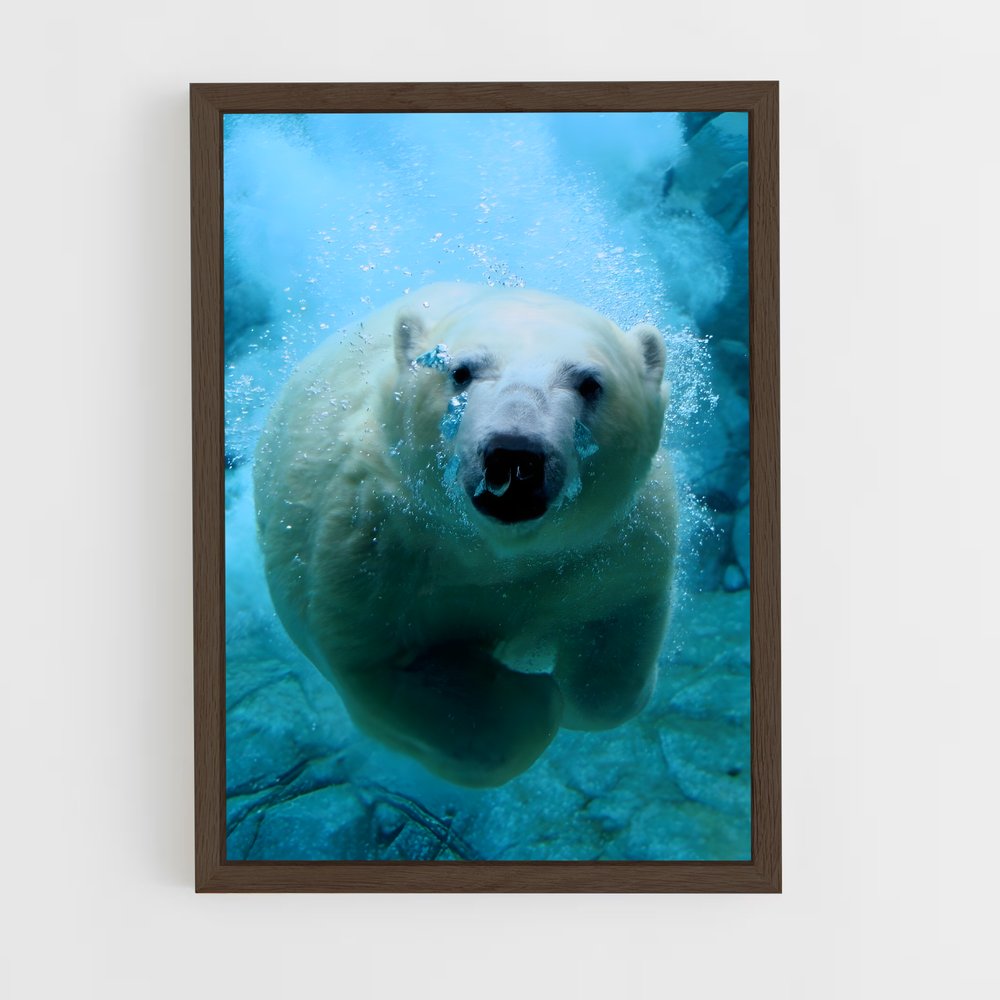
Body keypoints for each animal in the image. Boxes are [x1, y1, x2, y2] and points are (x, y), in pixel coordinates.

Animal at [254, 283, 677, 787]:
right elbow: (384, 667)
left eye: (590, 383)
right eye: (460, 371)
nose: (515, 455)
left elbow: (615, 642)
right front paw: (530, 694)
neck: (494, 549)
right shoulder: (372, 544)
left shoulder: (612, 544)